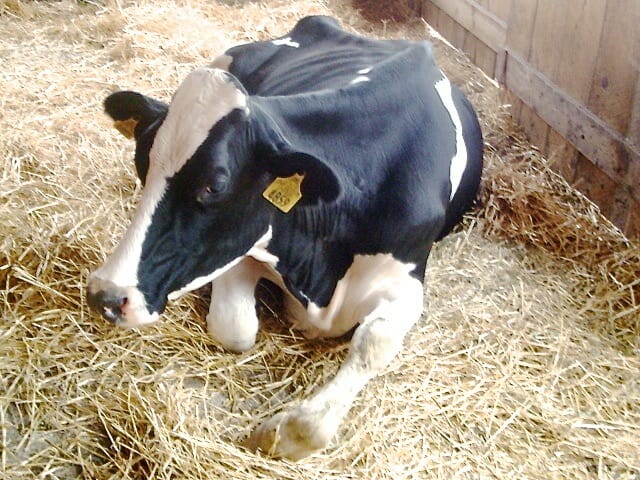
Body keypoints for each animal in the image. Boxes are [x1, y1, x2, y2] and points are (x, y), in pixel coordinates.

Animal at [87, 14, 482, 458]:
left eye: (213, 186)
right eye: (143, 162)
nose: (105, 295)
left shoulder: (406, 282)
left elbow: (372, 344)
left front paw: (278, 434)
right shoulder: (245, 248)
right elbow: (235, 328)